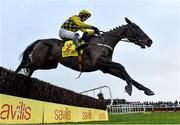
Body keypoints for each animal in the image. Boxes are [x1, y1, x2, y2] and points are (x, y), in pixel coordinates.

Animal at [14, 17, 154, 95]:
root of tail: (40, 40)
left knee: (31, 68)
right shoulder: (98, 62)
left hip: (49, 64)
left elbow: (124, 74)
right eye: (136, 27)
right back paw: (14, 76)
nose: (149, 41)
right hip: (40, 61)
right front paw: (129, 87)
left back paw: (25, 83)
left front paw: (147, 90)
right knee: (24, 64)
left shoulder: (105, 68)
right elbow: (122, 66)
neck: (103, 42)